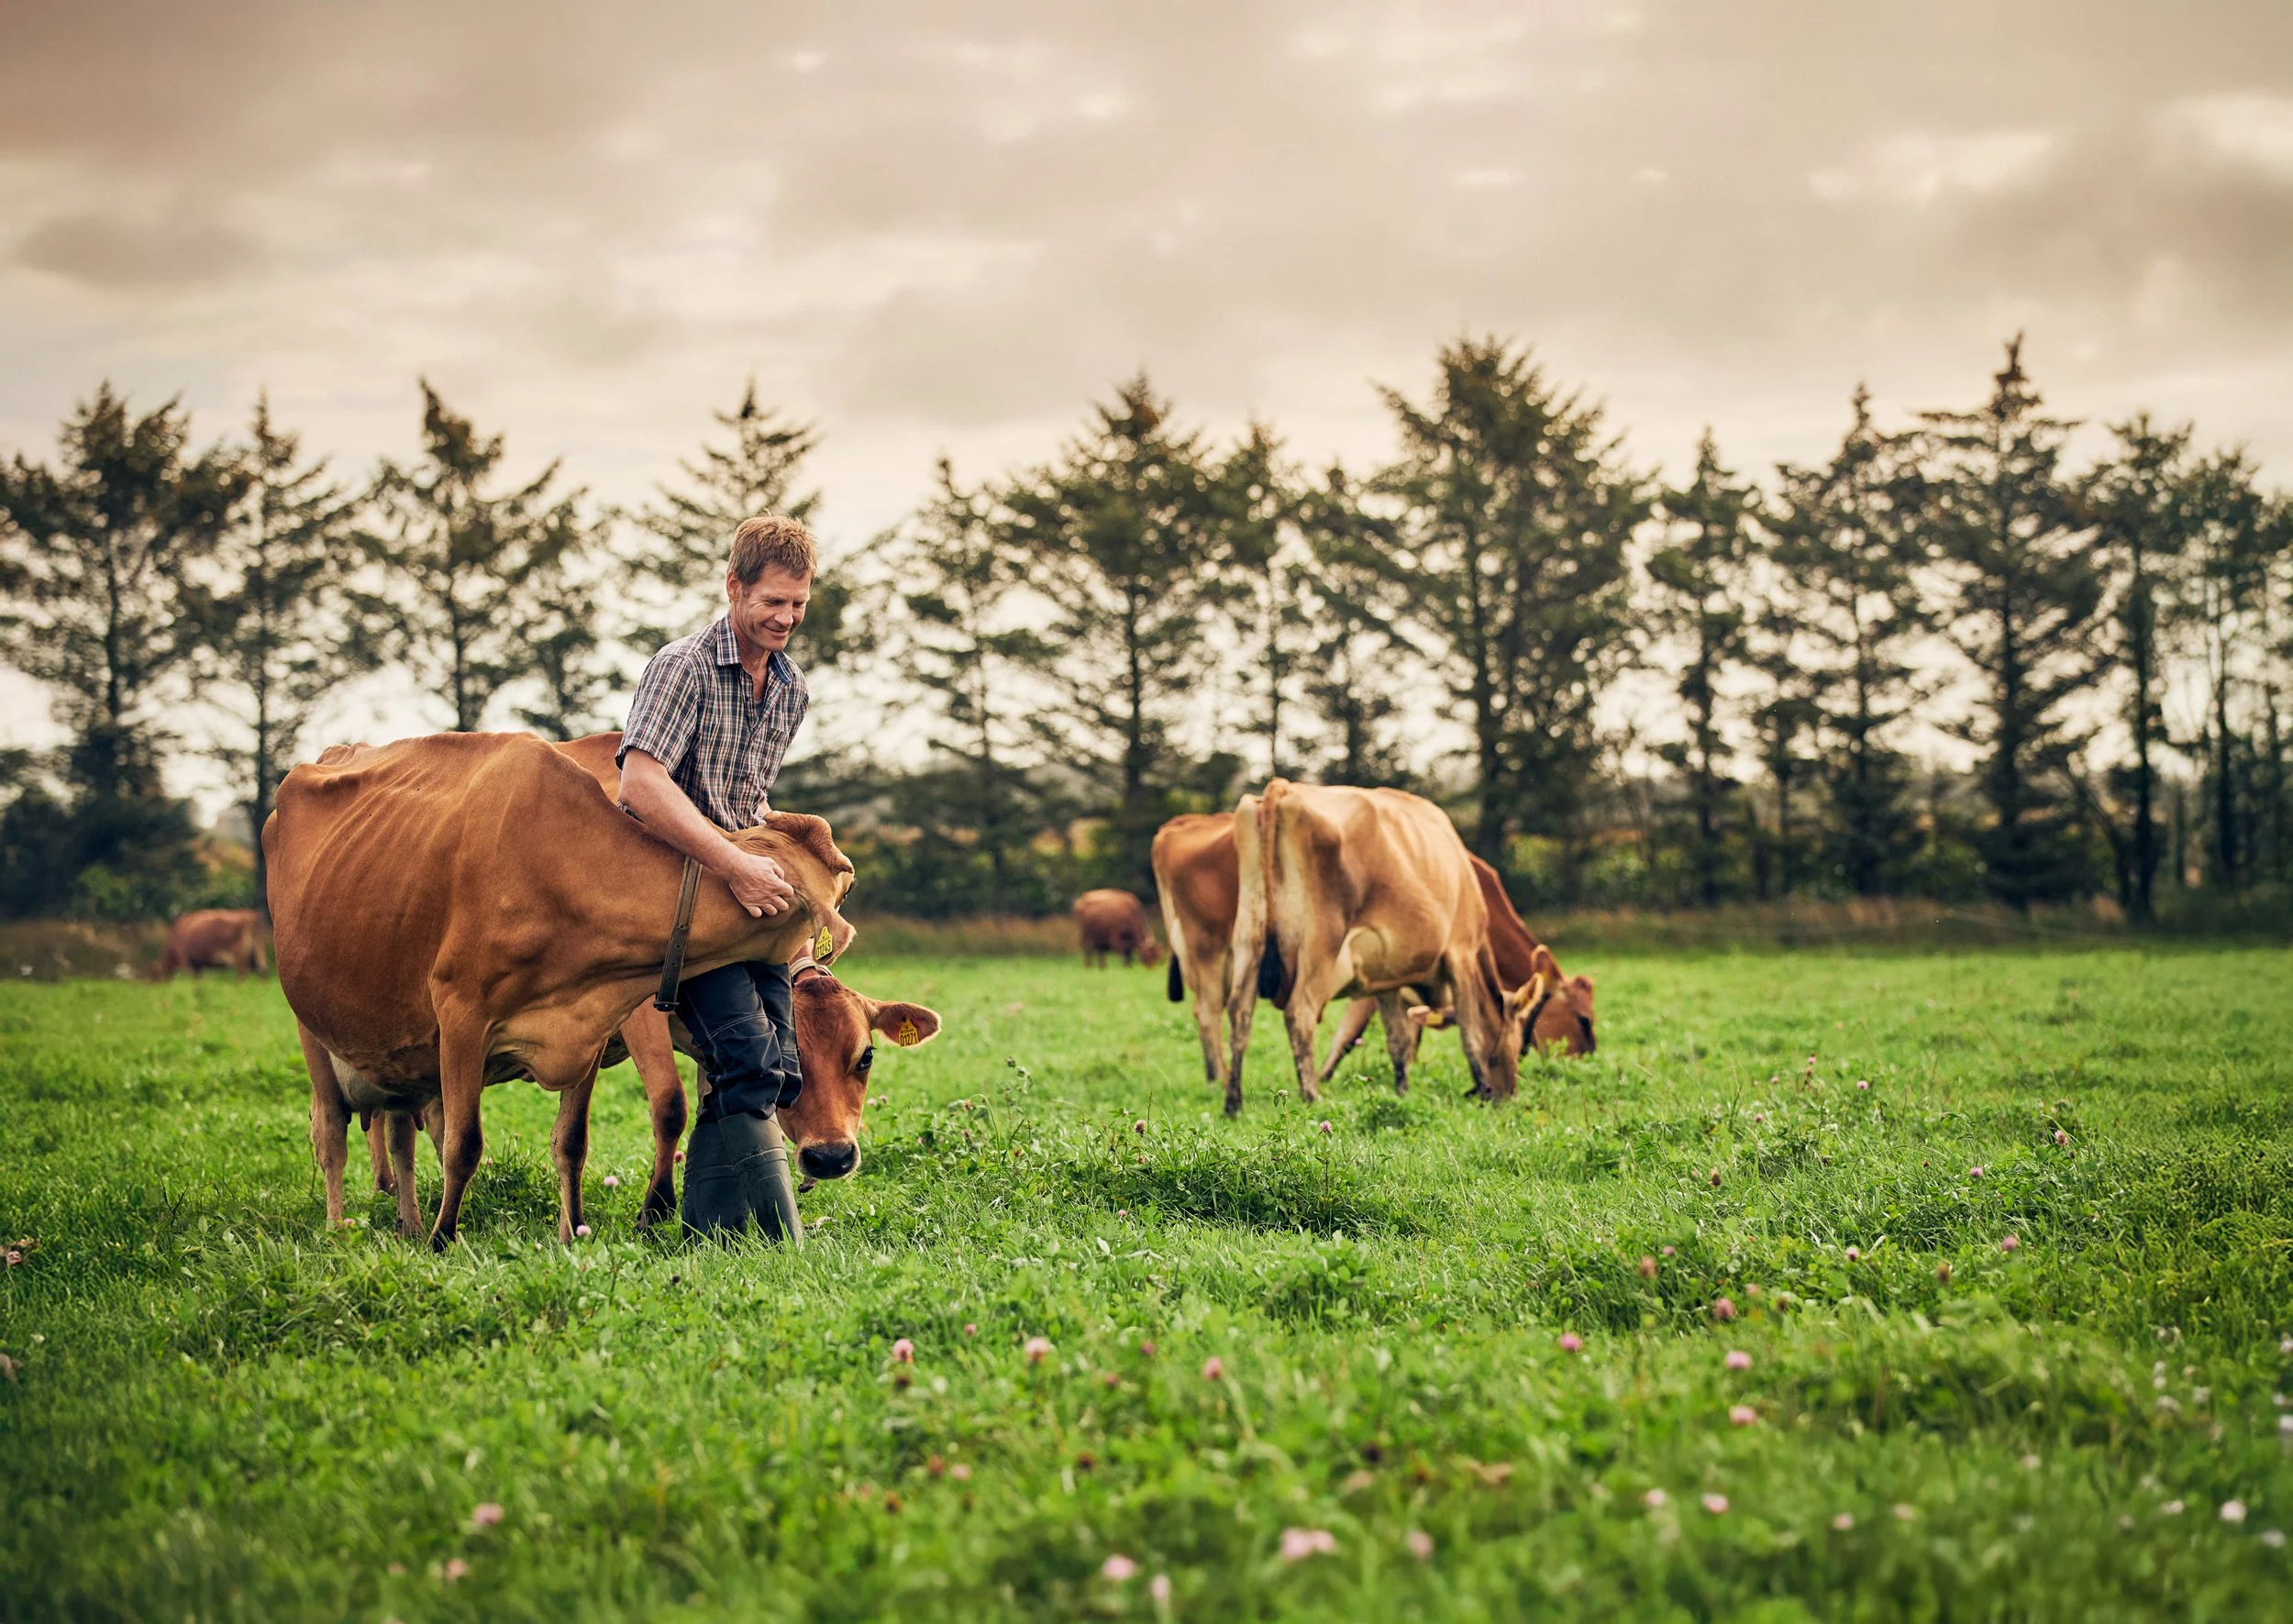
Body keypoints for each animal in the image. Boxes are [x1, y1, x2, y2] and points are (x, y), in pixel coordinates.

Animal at [269, 730, 881, 1249]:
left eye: (864, 1057)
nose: (831, 1157)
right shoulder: (467, 1012)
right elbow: (470, 1143)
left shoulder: (590, 1022)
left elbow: (573, 1140)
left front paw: (572, 1234)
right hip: (313, 1029)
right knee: (333, 1133)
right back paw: (343, 1228)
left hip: (401, 1050)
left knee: (400, 1127)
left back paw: (407, 1219)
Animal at [1221, 779, 1550, 1115]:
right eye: (1517, 1045)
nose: (1509, 1095)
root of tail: (1284, 788)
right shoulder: (1461, 953)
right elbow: (1471, 1032)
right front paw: (1482, 1088)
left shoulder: (1385, 978)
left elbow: (1398, 1041)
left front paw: (1402, 1093)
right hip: (1320, 945)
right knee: (1300, 1012)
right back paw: (1311, 1096)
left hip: (1249, 936)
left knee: (1239, 1013)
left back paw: (1234, 1104)